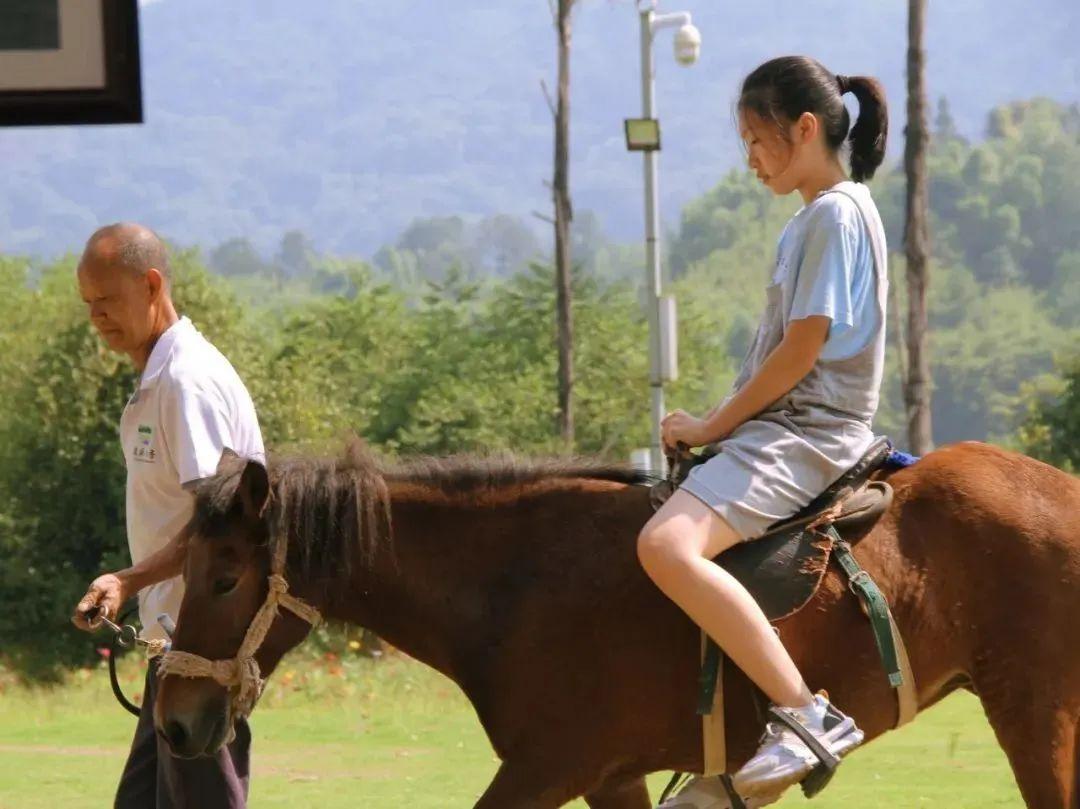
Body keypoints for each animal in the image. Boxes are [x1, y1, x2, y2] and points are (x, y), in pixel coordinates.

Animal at [154, 442, 1080, 807]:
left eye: (225, 577)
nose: (172, 720)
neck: (514, 579)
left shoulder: (546, 768)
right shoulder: (610, 775)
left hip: (1037, 715)